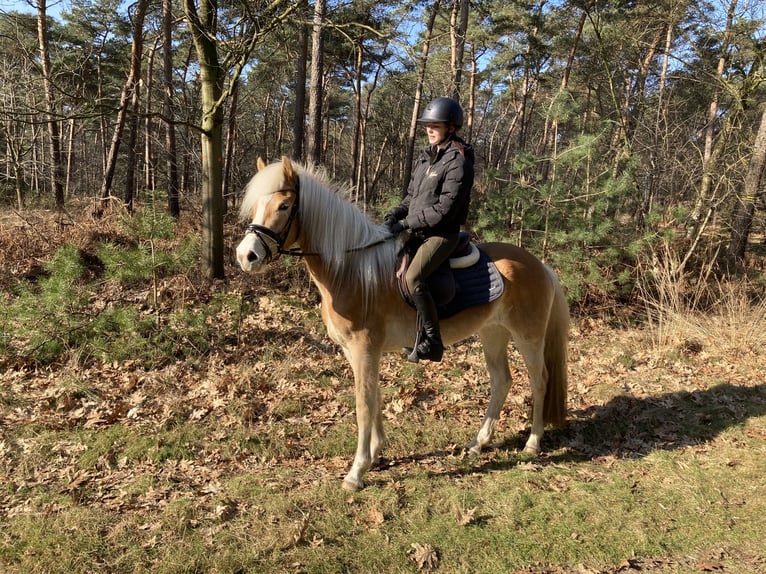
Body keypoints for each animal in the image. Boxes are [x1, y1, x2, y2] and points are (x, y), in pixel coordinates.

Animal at [234, 158, 568, 496]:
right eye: (257, 205)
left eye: (284, 205)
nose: (246, 256)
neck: (352, 273)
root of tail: (539, 265)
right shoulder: (358, 352)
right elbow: (374, 397)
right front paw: (376, 454)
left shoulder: (364, 349)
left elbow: (363, 404)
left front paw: (356, 471)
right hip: (493, 333)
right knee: (502, 381)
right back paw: (478, 443)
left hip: (528, 336)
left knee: (539, 380)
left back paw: (532, 443)